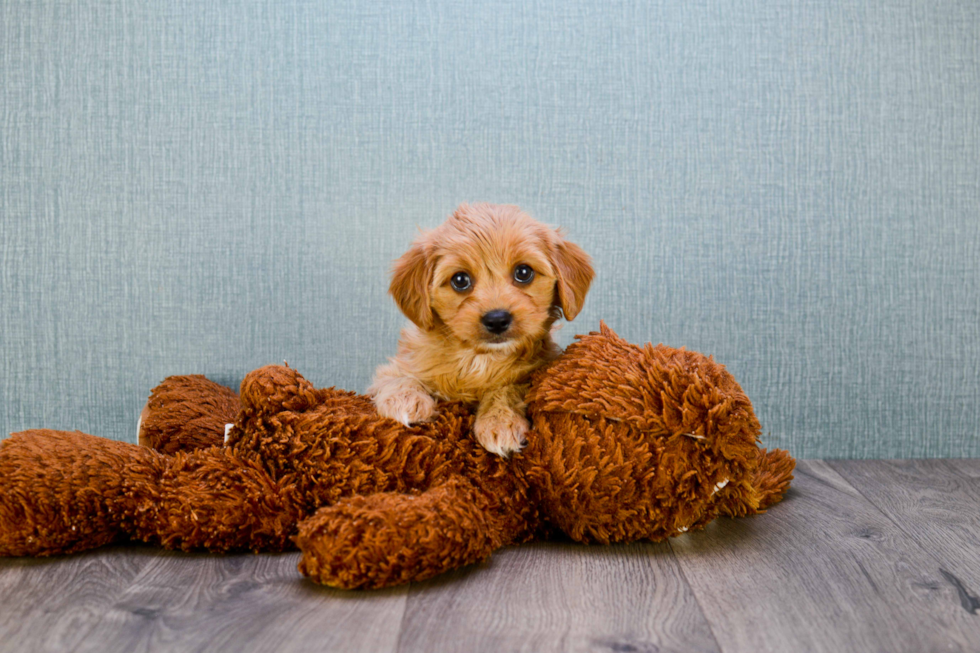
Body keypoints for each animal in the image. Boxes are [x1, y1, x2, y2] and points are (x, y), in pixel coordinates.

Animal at [368, 202, 592, 454]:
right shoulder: (399, 364)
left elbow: (507, 388)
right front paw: (405, 399)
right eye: (460, 280)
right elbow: (396, 377)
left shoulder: (533, 375)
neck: (478, 358)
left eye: (523, 272)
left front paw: (501, 421)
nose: (497, 319)